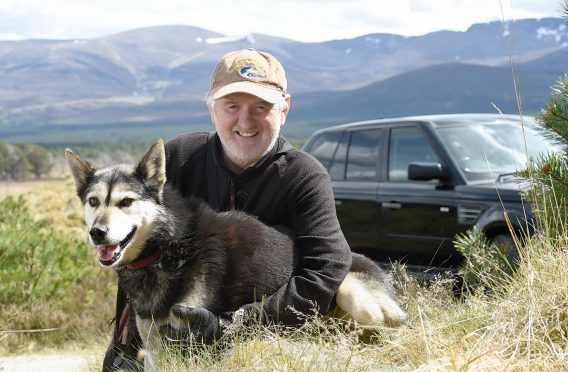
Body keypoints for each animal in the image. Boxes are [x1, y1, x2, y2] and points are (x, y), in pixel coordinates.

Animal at [65, 140, 404, 370]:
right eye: (93, 201)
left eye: (126, 202)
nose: (97, 233)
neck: (167, 246)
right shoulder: (155, 345)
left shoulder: (190, 340)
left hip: (352, 292)